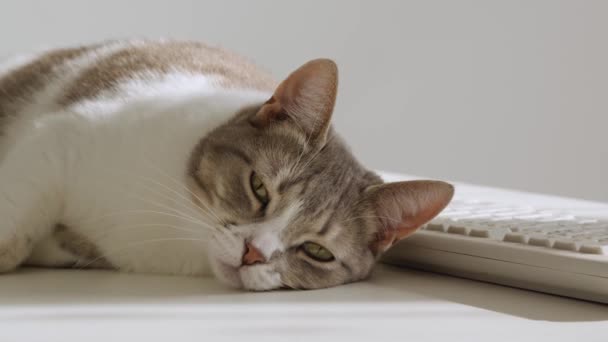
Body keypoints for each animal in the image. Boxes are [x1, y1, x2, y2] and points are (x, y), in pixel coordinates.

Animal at [0, 40, 452, 292]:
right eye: (259, 188)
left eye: (317, 251)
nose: (254, 254)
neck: (175, 229)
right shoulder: (59, 141)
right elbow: (15, 222)